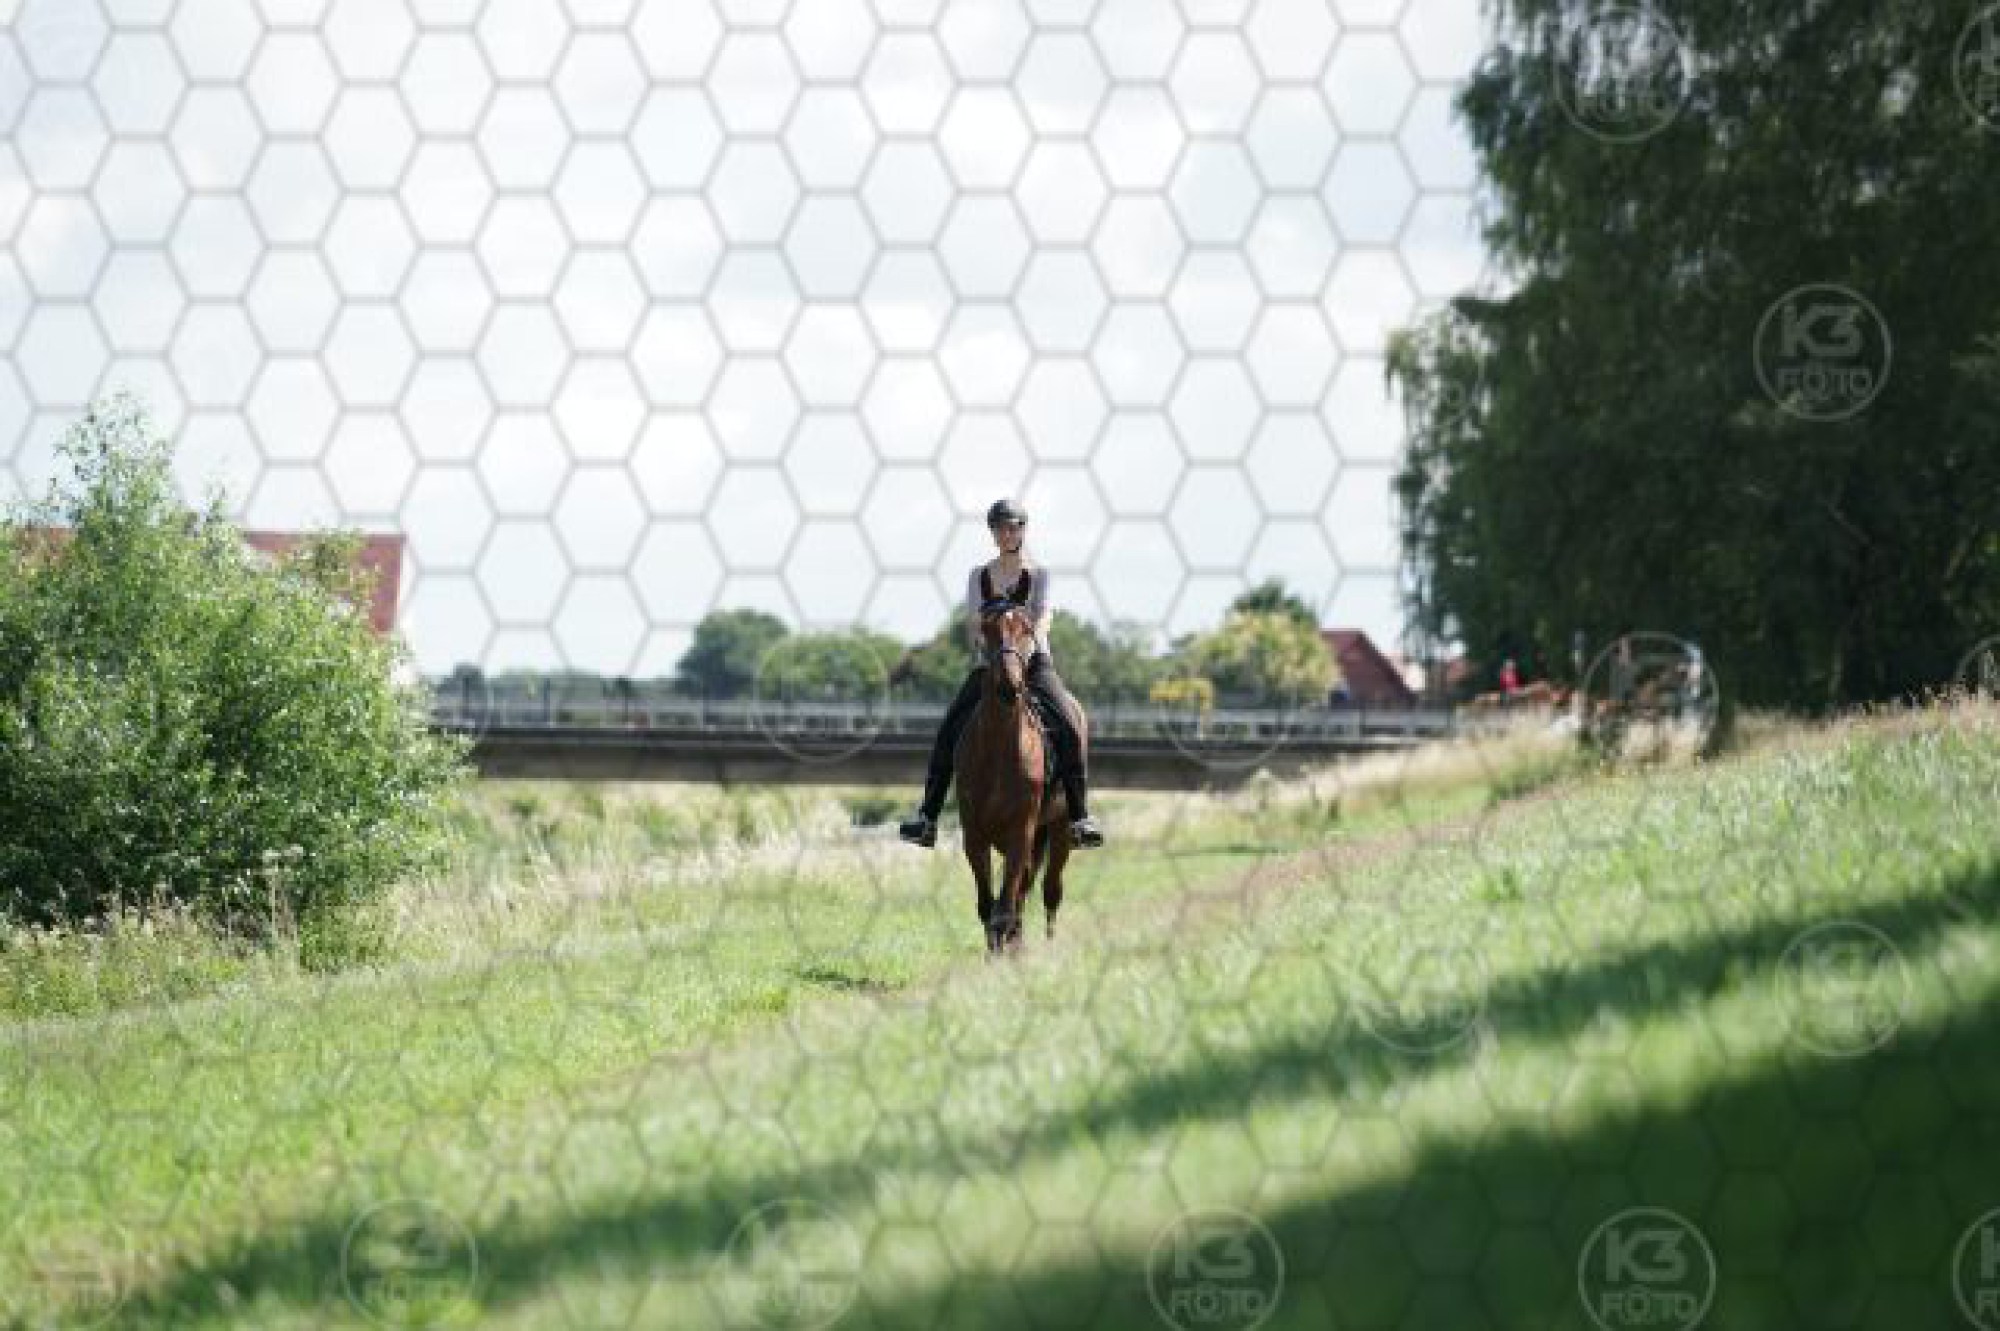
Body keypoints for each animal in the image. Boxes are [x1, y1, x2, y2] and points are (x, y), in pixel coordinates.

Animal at [953, 600, 1079, 954]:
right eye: (987, 629)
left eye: (1027, 628)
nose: (1010, 686)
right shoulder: (974, 836)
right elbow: (988, 903)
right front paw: (996, 951)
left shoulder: (1020, 833)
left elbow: (1007, 901)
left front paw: (1005, 950)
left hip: (1060, 830)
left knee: (1050, 889)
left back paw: (1046, 946)